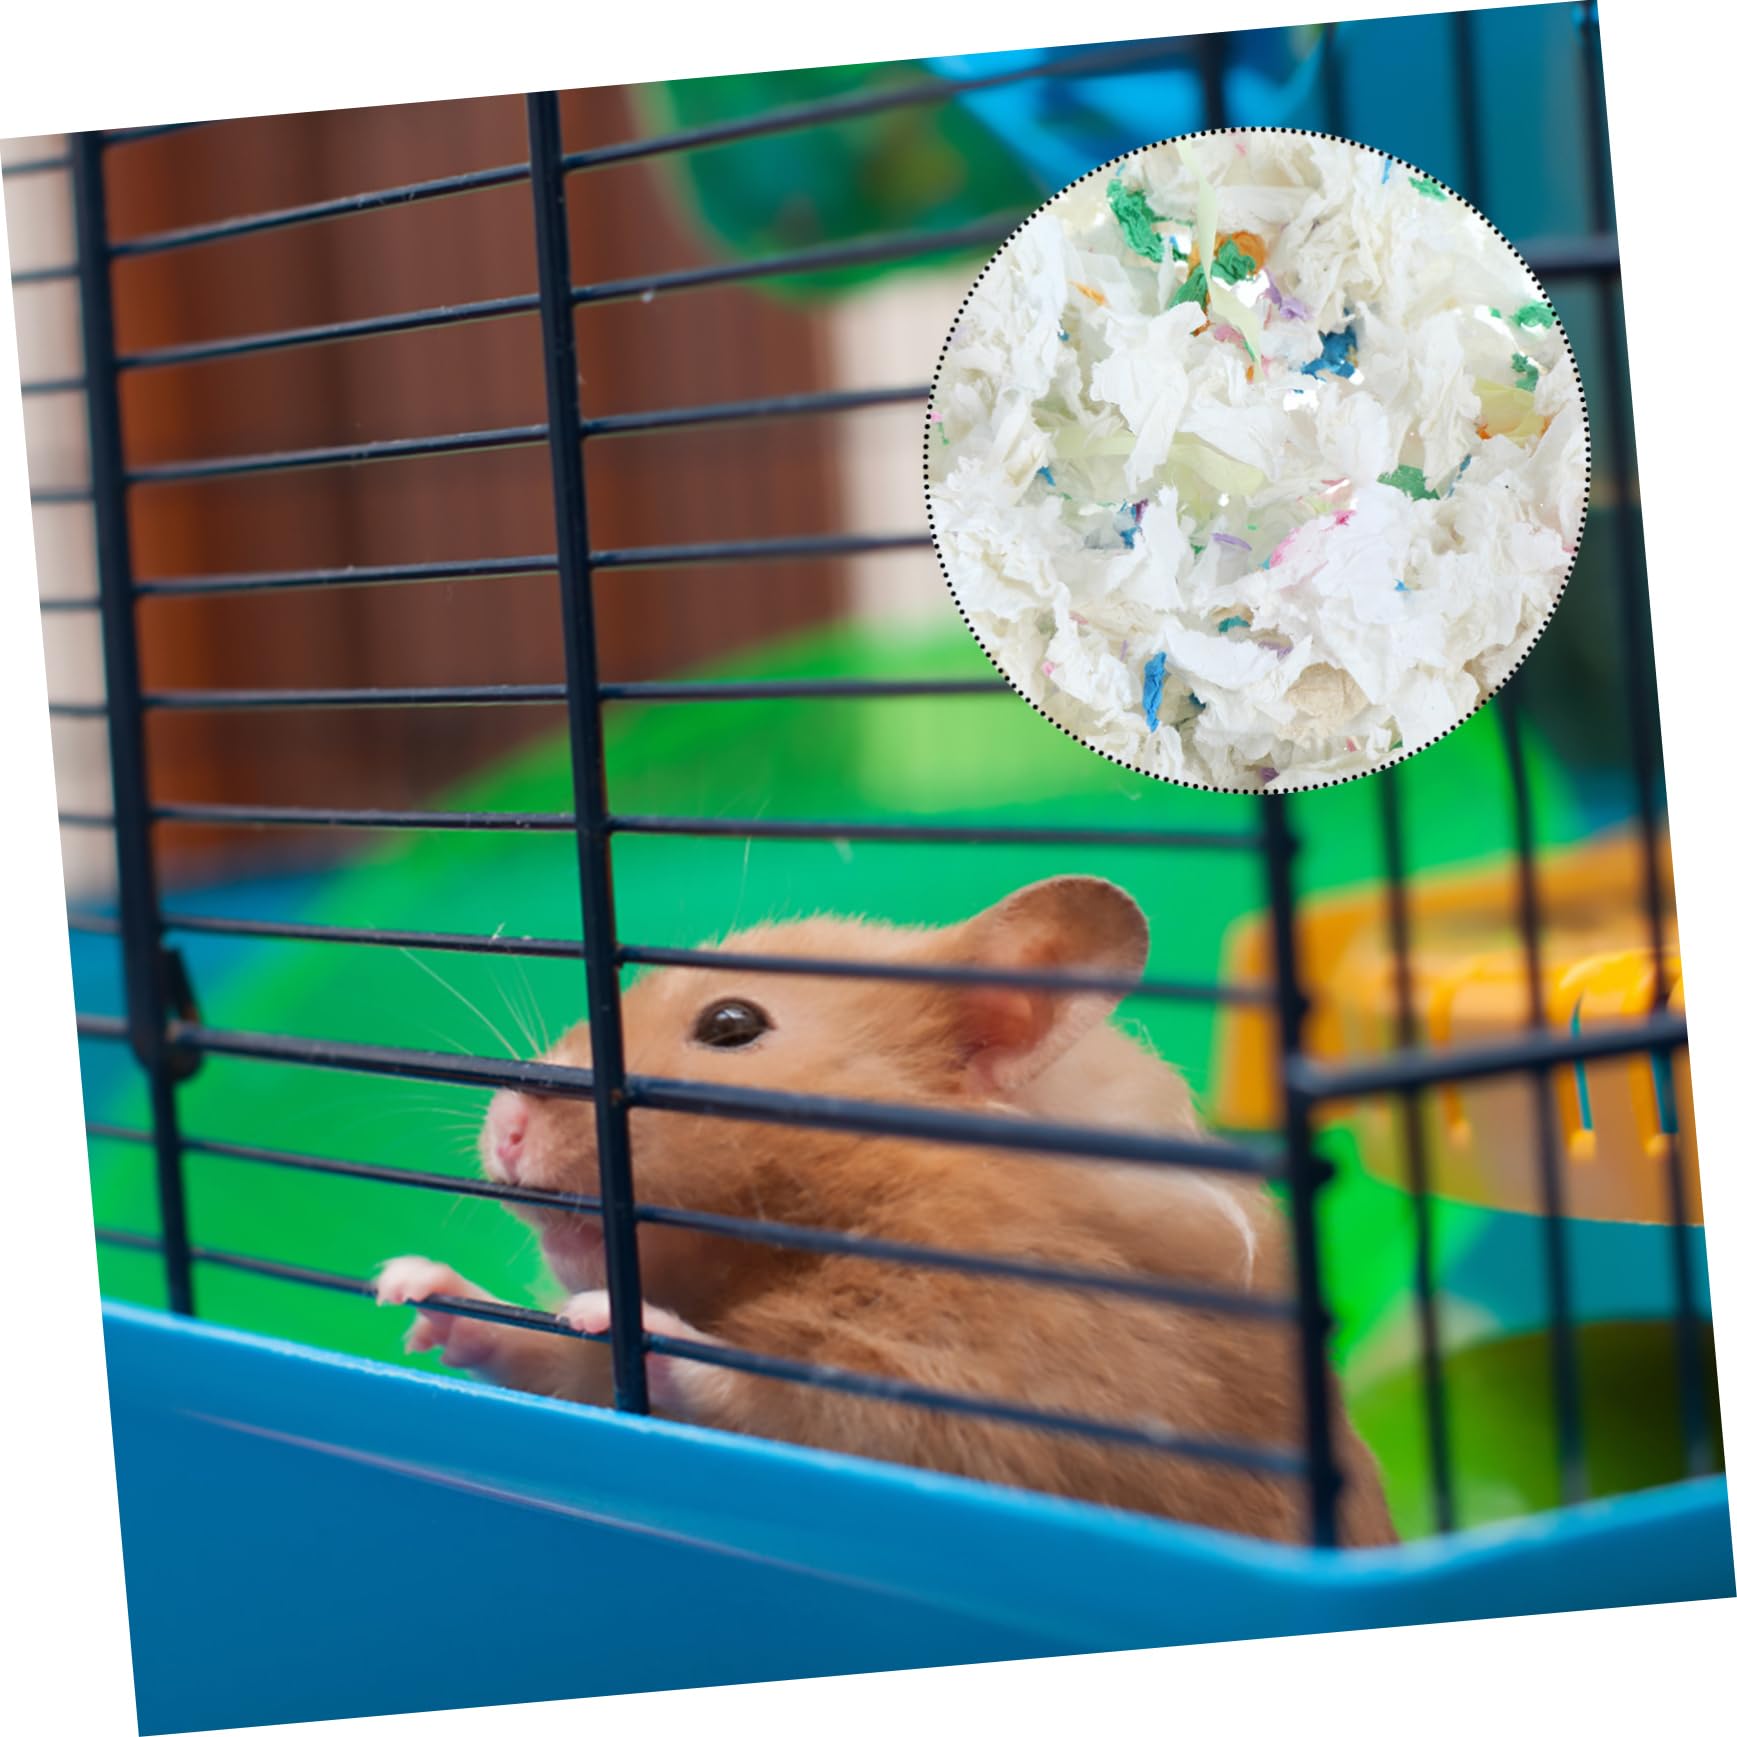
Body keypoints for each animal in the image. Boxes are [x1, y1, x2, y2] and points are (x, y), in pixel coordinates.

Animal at [378, 875, 1397, 1546]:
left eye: (731, 1025)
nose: (504, 1124)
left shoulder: (1008, 1385)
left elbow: (780, 1394)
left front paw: (611, 1314)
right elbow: (556, 1362)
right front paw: (410, 1291)